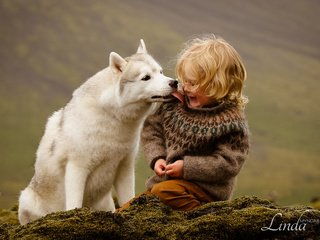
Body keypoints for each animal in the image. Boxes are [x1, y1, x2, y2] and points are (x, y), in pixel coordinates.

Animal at [18, 39, 178, 225]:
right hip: (26, 199)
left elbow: (127, 198)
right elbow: (74, 205)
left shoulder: (125, 167)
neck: (113, 119)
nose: (174, 82)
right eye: (146, 77)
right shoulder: (77, 168)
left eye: (160, 72)